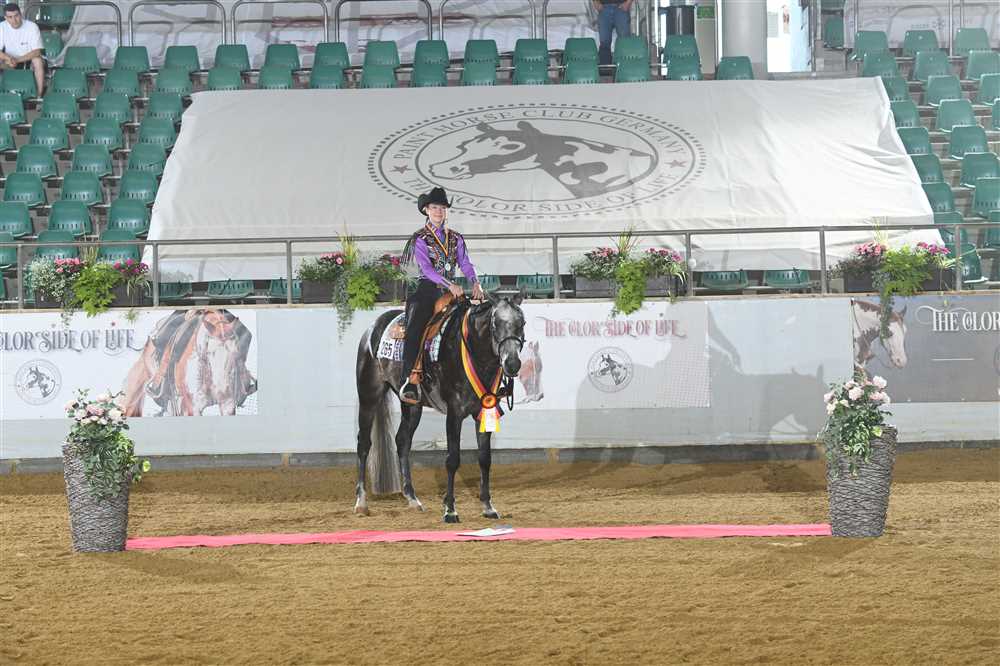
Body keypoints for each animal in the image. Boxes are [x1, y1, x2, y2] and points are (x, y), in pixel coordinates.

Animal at [355, 292, 526, 523]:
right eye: (495, 324)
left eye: (522, 323)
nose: (512, 364)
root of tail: (372, 328)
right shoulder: (454, 414)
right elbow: (452, 460)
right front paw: (450, 510)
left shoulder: (482, 412)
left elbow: (485, 459)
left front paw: (488, 507)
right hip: (369, 396)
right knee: (364, 444)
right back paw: (361, 502)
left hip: (411, 405)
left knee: (402, 441)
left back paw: (413, 499)